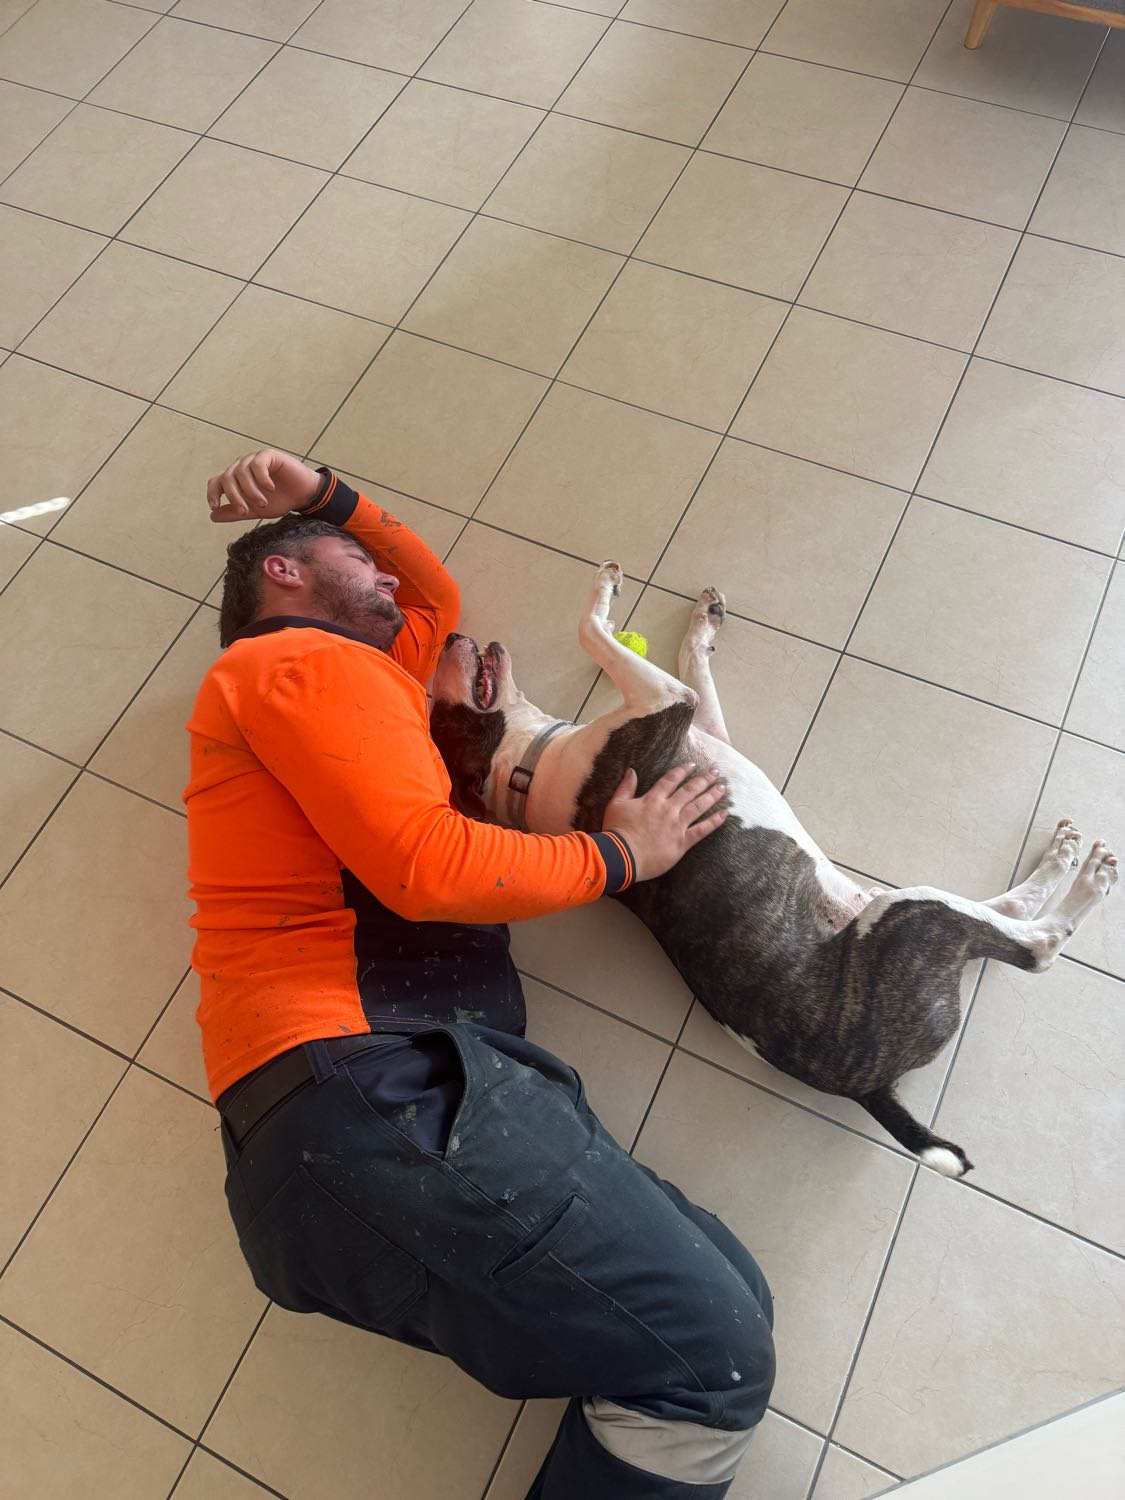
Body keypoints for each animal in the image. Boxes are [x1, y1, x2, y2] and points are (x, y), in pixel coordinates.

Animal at [429, 562, 1118, 1176]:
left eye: (433, 704)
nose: (450, 635)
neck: (531, 768)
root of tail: (868, 1085)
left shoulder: (701, 721)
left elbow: (695, 664)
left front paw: (704, 618)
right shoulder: (666, 702)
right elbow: (592, 631)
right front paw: (606, 587)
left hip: (888, 905)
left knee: (1005, 916)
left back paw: (1060, 857)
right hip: (907, 918)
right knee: (1036, 946)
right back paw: (1088, 876)